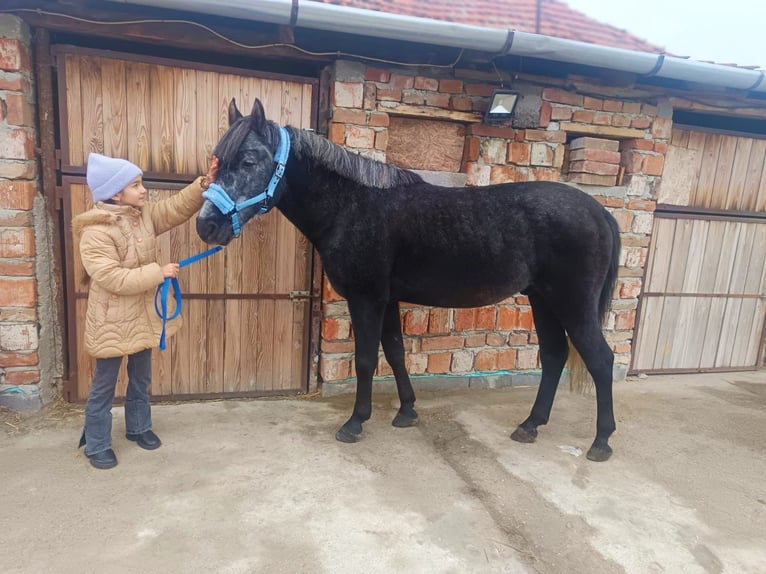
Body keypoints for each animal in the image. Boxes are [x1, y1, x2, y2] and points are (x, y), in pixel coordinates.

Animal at [196, 98, 621, 462]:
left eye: (249, 160)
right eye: (218, 160)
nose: (206, 225)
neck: (352, 205)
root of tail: (599, 212)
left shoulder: (366, 298)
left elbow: (367, 359)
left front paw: (355, 422)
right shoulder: (387, 299)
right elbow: (396, 352)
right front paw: (406, 412)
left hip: (572, 302)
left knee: (600, 359)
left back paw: (601, 441)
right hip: (542, 298)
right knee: (554, 356)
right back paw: (531, 425)